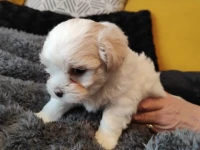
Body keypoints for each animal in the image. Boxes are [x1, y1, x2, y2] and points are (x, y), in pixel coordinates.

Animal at [36, 18, 166, 149]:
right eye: (50, 70)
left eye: (78, 71)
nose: (57, 92)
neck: (99, 87)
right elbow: (56, 105)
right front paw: (42, 117)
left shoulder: (122, 102)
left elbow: (111, 121)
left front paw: (104, 141)